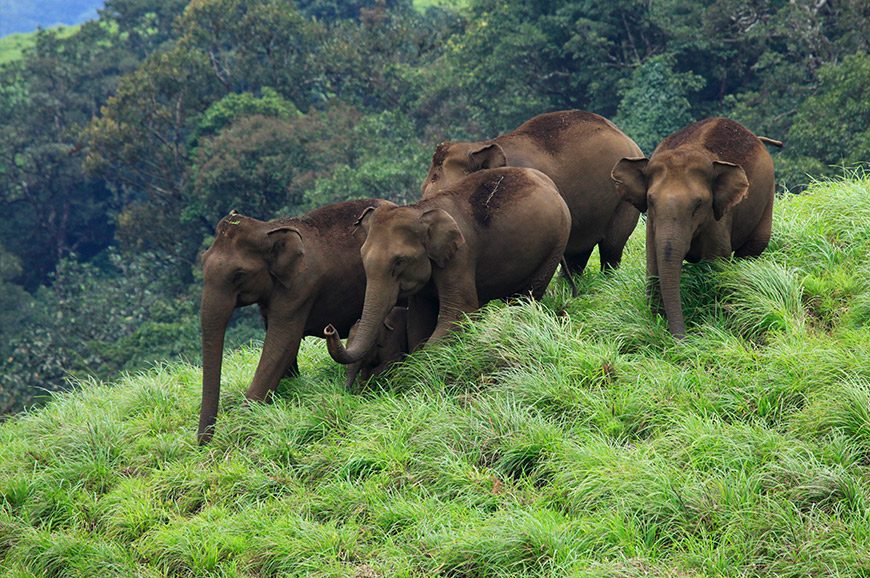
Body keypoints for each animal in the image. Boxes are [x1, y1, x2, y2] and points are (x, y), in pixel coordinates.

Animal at [201, 197, 388, 440]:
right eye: (203, 261)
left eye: (239, 275)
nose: (204, 443)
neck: (269, 228)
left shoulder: (300, 288)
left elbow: (282, 345)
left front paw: (242, 429)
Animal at [324, 166, 576, 364]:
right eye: (363, 258)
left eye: (399, 262)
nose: (330, 328)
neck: (419, 210)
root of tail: (549, 182)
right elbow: (419, 322)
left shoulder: (460, 257)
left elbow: (458, 312)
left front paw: (418, 369)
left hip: (557, 241)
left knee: (530, 293)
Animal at [612, 116, 784, 338]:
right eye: (651, 201)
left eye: (698, 205)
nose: (681, 339)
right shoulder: (652, 222)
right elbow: (653, 261)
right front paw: (655, 322)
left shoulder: (718, 217)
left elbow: (715, 262)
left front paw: (713, 321)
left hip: (768, 196)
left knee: (753, 247)